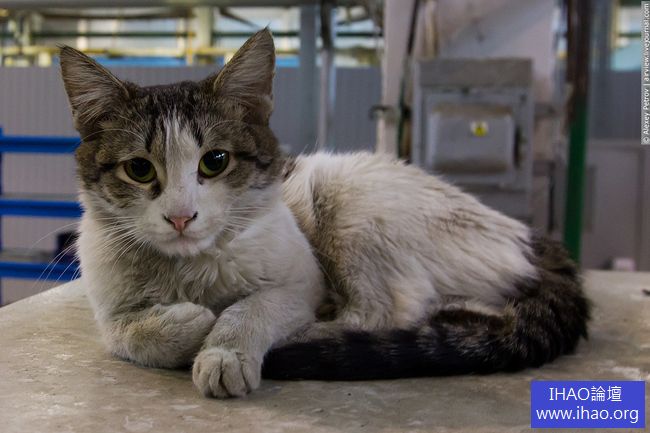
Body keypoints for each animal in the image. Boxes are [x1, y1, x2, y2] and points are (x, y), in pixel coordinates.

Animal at [60, 29, 590, 399]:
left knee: (387, 309)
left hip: (346, 195)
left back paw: (306, 337)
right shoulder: (107, 305)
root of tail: (534, 237)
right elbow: (127, 333)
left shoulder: (301, 282)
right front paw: (186, 324)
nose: (180, 217)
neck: (191, 272)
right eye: (139, 169)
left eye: (215, 161)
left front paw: (223, 347)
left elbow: (251, 307)